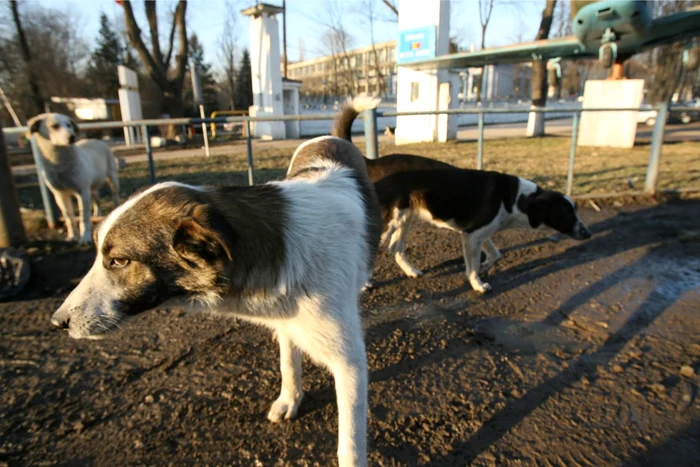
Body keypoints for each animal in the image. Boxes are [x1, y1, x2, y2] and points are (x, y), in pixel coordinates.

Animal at [50, 133, 382, 466]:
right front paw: (290, 398)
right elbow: (288, 361)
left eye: (119, 261)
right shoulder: (289, 322)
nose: (57, 322)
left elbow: (350, 446)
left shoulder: (349, 364)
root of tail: (331, 136)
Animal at [332, 98, 592, 292]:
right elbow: (473, 267)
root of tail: (372, 161)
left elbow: (495, 254)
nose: (588, 234)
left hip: (405, 219)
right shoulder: (472, 237)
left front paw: (486, 266)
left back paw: (412, 271)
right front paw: (478, 284)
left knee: (395, 249)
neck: (516, 198)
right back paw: (365, 283)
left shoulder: (478, 233)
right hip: (387, 221)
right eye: (566, 213)